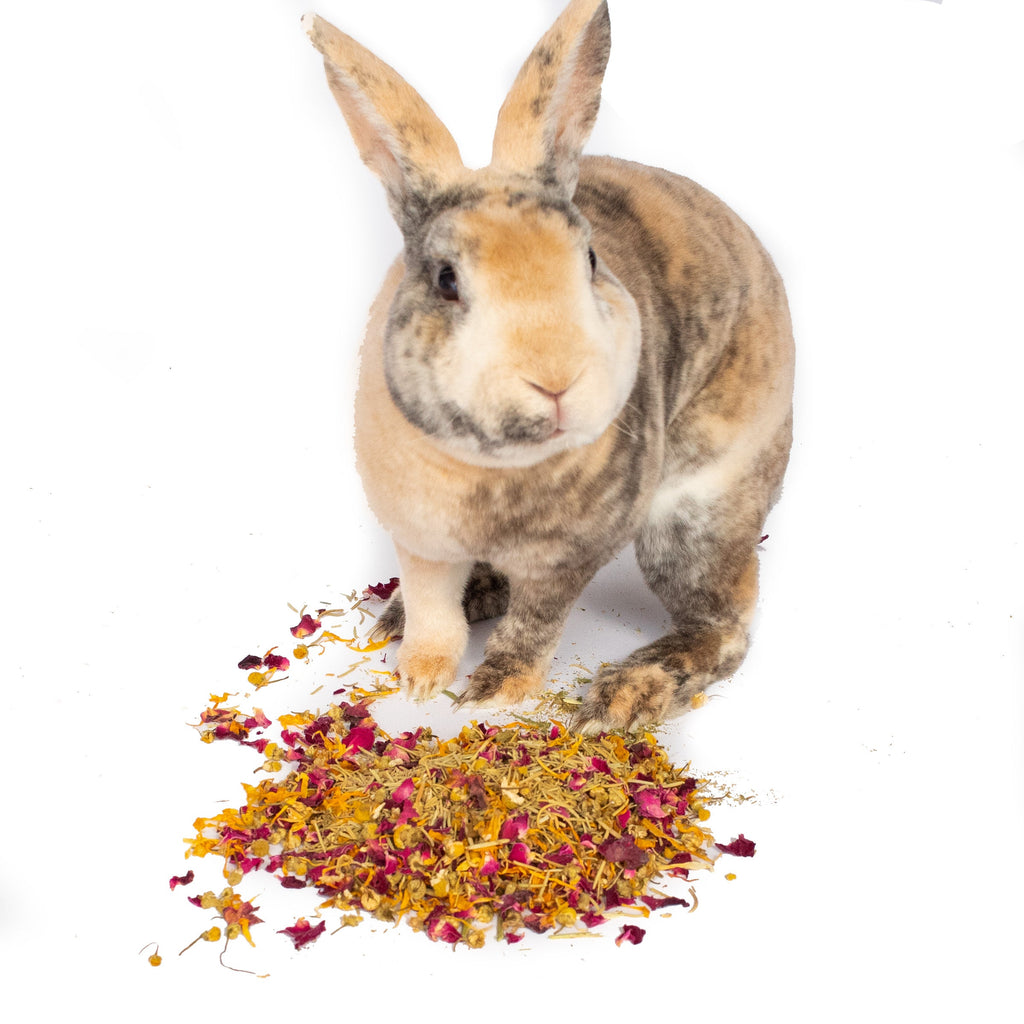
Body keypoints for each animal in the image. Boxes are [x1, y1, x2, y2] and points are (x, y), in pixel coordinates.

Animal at [302, 0, 794, 733]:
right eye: (447, 280)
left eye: (589, 260)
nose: (556, 380)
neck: (489, 466)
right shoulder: (420, 542)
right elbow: (433, 607)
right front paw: (419, 678)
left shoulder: (565, 560)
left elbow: (536, 623)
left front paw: (492, 690)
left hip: (696, 519)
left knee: (726, 625)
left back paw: (626, 693)